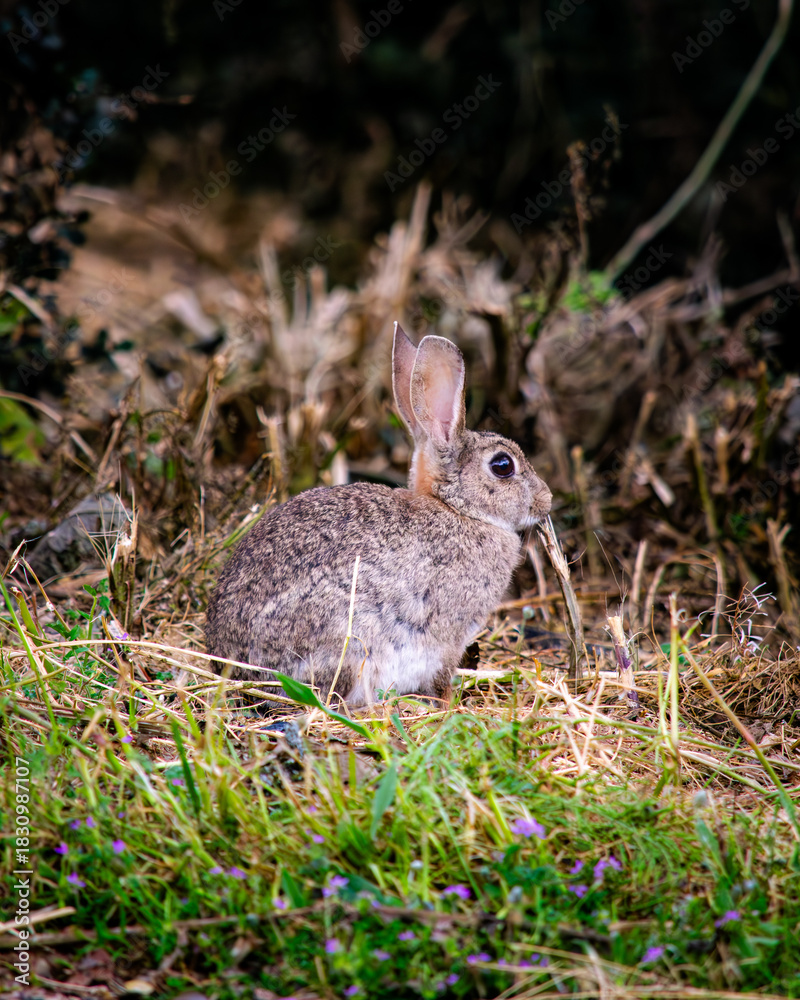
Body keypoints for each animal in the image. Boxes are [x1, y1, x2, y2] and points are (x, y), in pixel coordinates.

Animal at [205, 322, 552, 708]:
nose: (546, 500)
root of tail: (235, 666)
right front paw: (451, 705)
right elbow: (442, 677)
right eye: (503, 466)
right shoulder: (446, 638)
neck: (457, 509)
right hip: (348, 637)